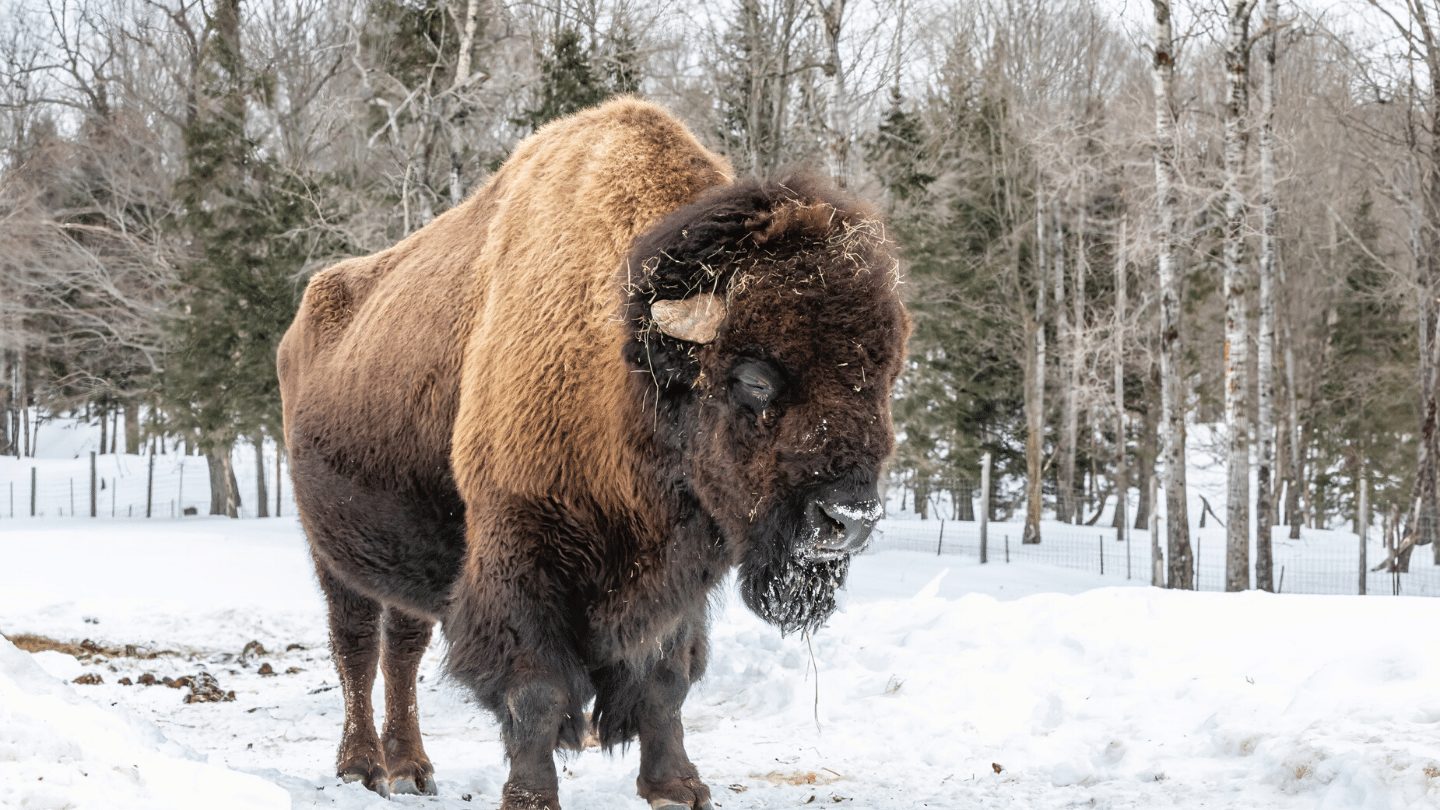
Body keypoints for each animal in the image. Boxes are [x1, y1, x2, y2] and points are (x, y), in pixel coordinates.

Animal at [277, 97, 909, 810]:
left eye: (885, 376)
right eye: (753, 378)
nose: (848, 520)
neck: (631, 369)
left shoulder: (674, 580)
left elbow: (664, 682)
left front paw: (677, 786)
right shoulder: (522, 551)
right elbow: (535, 688)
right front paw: (532, 796)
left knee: (403, 650)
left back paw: (411, 769)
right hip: (332, 554)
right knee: (356, 647)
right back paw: (361, 766)